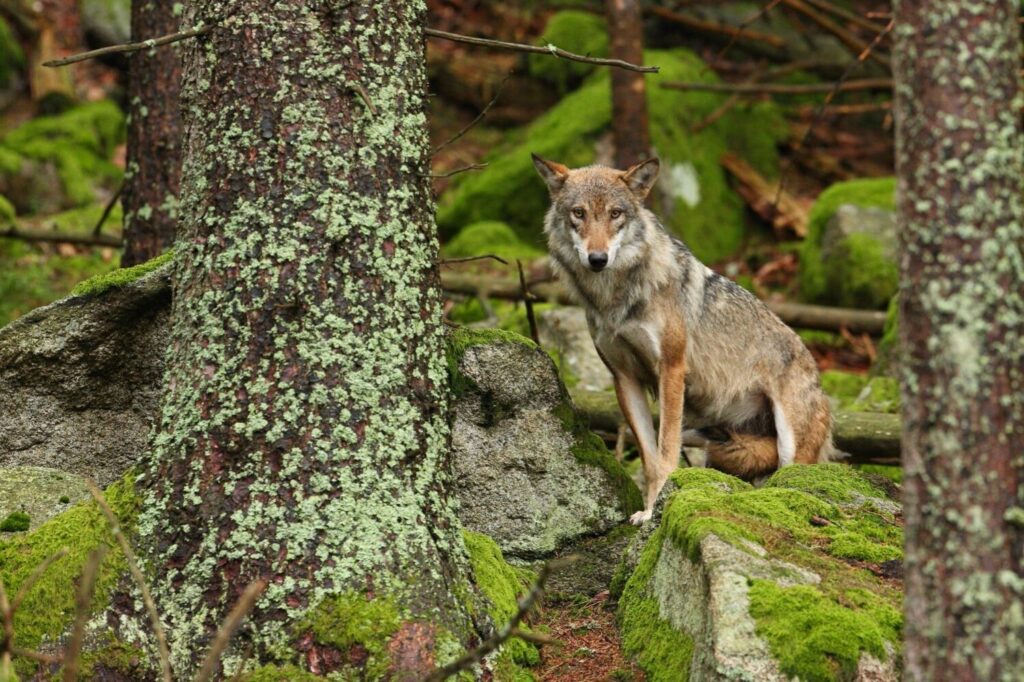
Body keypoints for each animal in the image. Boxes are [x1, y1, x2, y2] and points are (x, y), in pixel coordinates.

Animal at [532, 154, 835, 524]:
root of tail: (818, 375)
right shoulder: (624, 377)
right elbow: (649, 459)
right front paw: (647, 510)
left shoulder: (672, 369)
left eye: (615, 214)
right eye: (579, 213)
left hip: (790, 446)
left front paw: (655, 512)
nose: (597, 259)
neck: (614, 298)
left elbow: (666, 451)